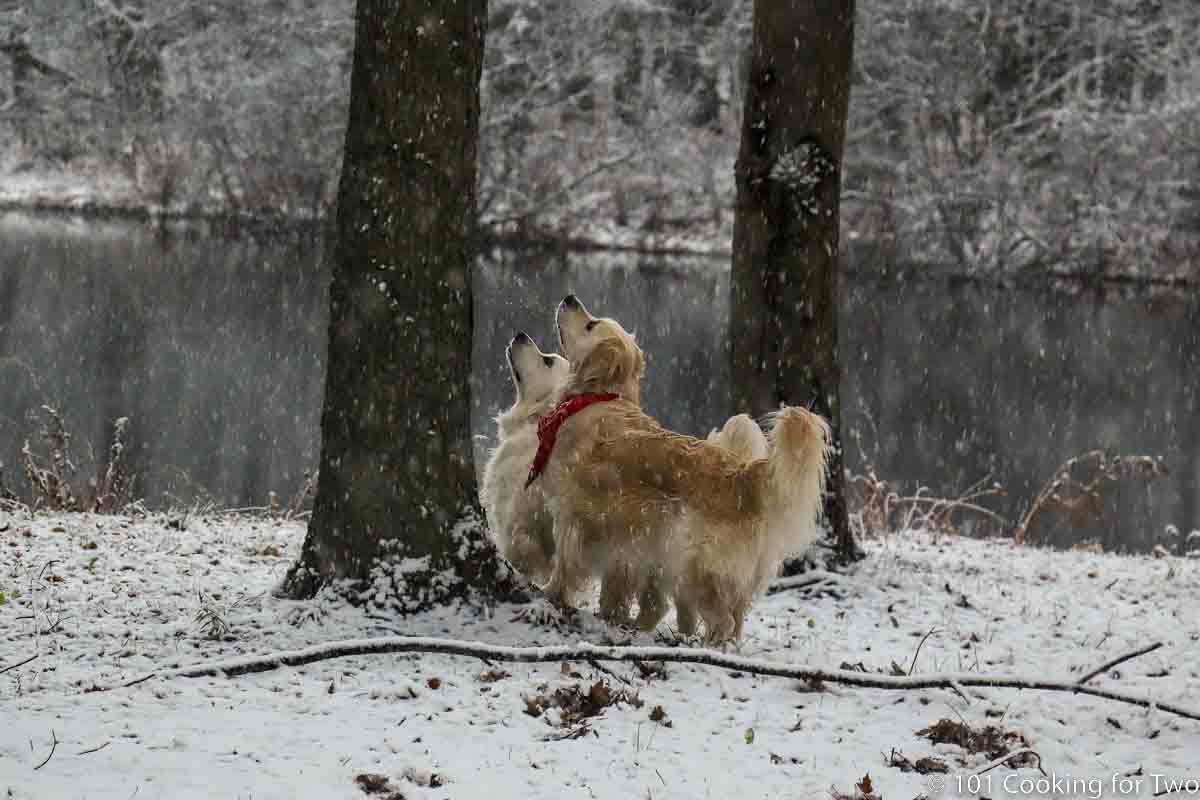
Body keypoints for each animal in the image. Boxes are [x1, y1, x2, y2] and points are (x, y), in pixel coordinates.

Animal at [540, 296, 830, 642]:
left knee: (723, 622)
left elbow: (564, 566)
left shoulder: (574, 518)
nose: (570, 298)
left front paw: (550, 594)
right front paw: (614, 619)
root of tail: (744, 475)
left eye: (590, 324)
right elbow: (616, 589)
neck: (600, 398)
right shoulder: (624, 546)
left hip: (694, 567)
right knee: (736, 622)